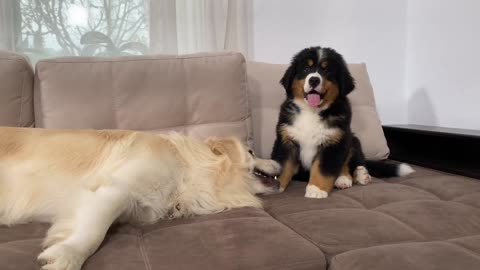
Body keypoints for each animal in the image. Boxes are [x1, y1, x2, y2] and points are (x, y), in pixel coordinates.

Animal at [0, 127, 282, 270]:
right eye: (251, 152)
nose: (279, 161)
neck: (189, 168)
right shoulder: (115, 189)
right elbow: (93, 233)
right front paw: (68, 257)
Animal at [272, 46, 414, 198]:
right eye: (306, 69)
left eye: (327, 71)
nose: (314, 80)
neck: (312, 111)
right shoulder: (286, 141)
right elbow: (283, 165)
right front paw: (275, 185)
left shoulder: (334, 142)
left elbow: (323, 168)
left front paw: (316, 189)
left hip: (352, 140)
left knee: (353, 162)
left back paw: (354, 176)